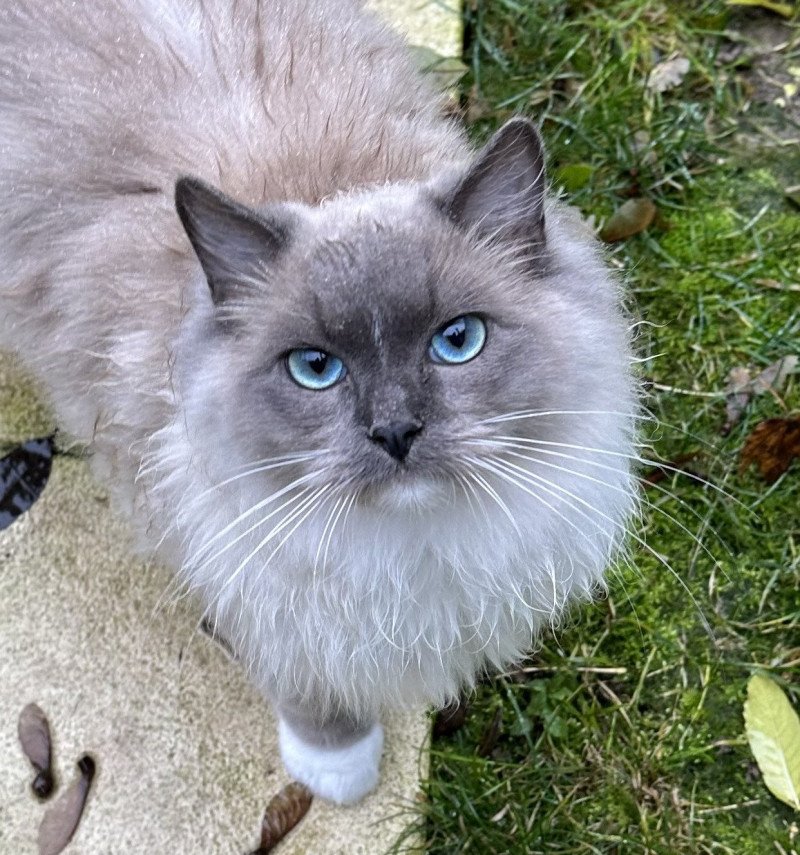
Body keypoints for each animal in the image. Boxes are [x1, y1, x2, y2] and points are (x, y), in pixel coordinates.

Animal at [0, 0, 636, 804]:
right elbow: (312, 692)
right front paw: (339, 773)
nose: (395, 431)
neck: (407, 551)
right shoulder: (257, 577)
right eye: (315, 368)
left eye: (457, 341)